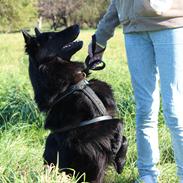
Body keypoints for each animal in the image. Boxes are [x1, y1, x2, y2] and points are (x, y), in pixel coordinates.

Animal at [21, 24, 127, 183]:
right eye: (51, 37)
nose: (76, 25)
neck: (73, 85)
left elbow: (121, 130)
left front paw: (120, 160)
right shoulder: (83, 132)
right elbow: (118, 122)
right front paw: (116, 147)